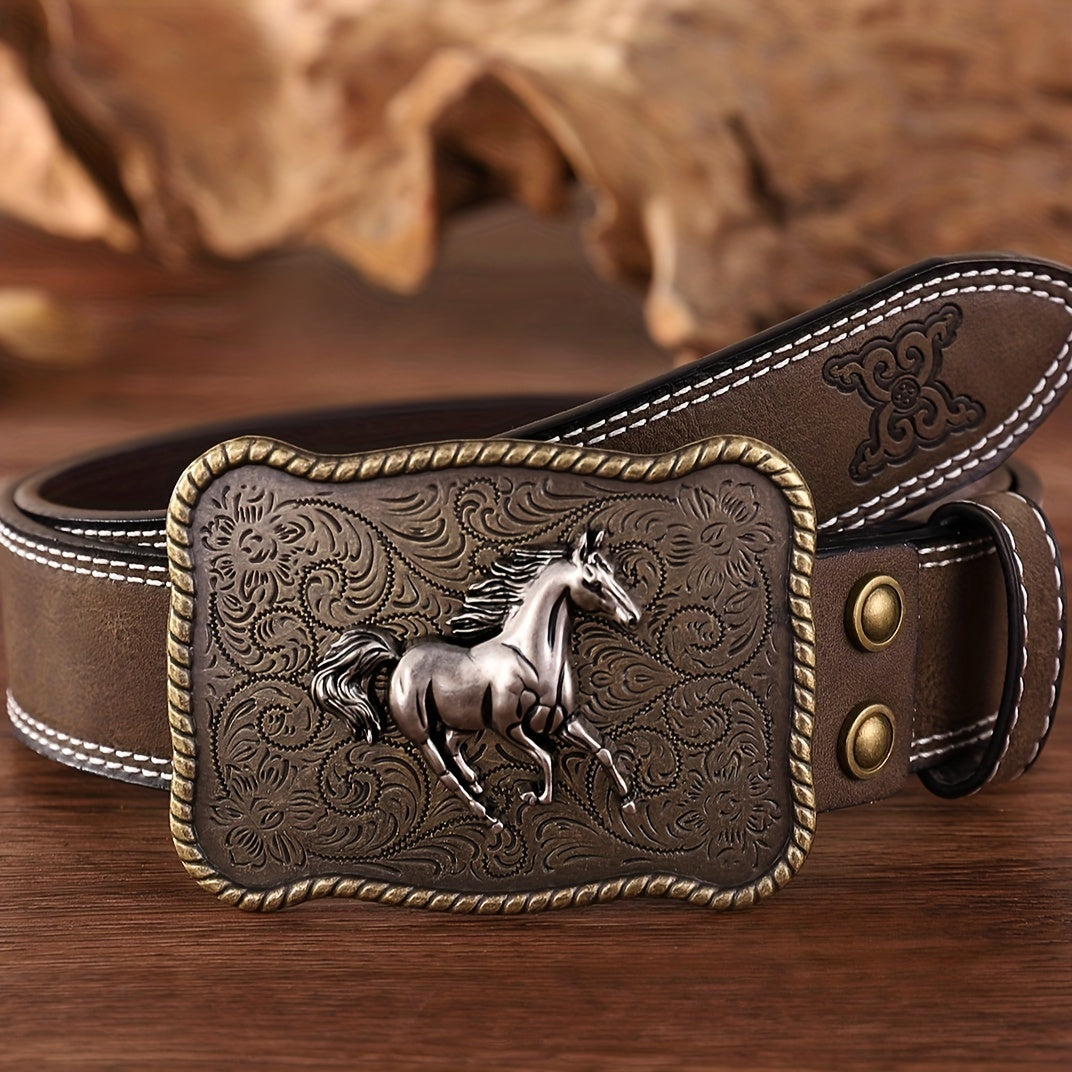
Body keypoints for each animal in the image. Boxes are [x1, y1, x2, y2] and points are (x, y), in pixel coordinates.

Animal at [310, 529, 641, 828]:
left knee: (451, 743)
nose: (633, 617)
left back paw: (475, 780)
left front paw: (628, 799)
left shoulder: (566, 720)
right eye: (592, 582)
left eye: (613, 570)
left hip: (464, 720)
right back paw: (487, 814)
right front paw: (537, 797)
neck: (532, 657)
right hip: (421, 732)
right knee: (445, 772)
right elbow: (547, 756)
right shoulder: (509, 727)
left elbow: (603, 750)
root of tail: (399, 657)